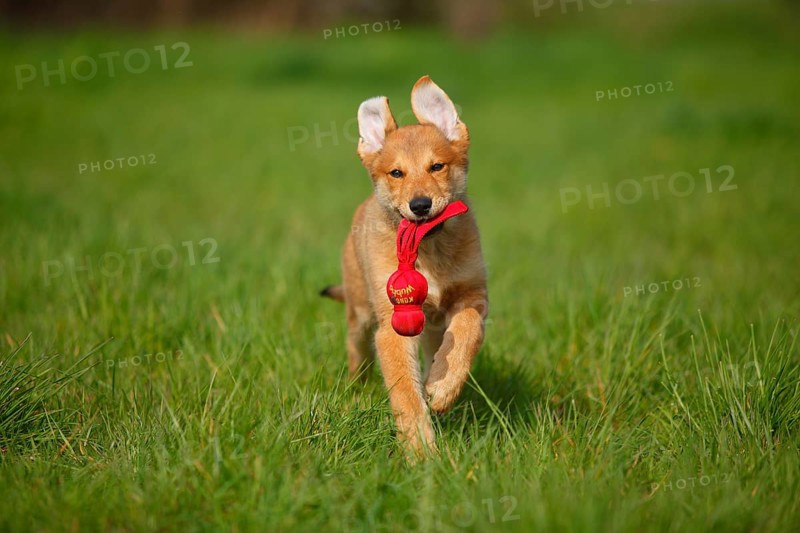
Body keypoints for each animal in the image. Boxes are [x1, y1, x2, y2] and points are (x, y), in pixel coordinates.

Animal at [321, 76, 488, 455]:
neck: (428, 250)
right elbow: (405, 393)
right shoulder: (394, 324)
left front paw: (444, 388)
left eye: (437, 166)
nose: (420, 205)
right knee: (356, 353)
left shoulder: (473, 294)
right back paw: (357, 389)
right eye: (396, 173)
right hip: (360, 312)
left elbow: (467, 331)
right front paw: (421, 452)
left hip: (431, 326)